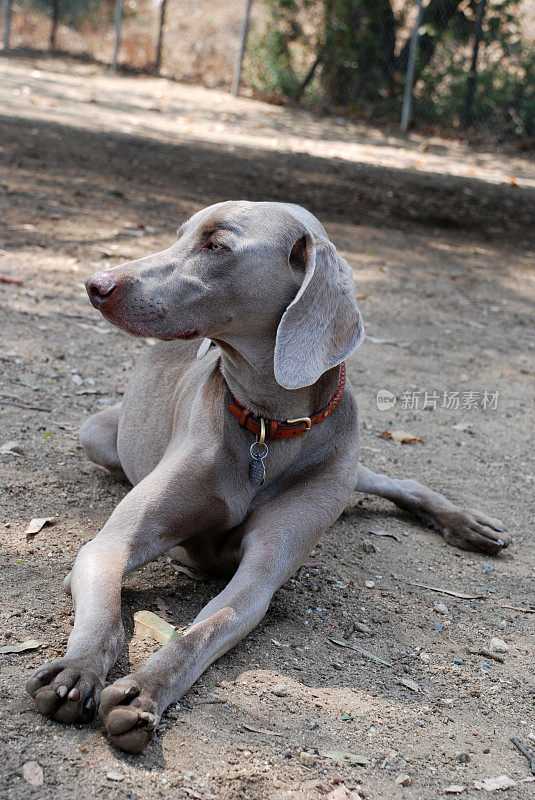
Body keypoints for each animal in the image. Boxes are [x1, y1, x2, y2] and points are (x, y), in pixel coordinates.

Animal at [25, 200, 510, 752]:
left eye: (216, 246)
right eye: (179, 235)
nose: (95, 284)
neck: (264, 423)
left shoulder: (261, 574)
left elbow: (201, 632)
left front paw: (144, 690)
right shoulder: (107, 547)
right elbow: (104, 615)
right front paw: (77, 670)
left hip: (343, 465)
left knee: (393, 482)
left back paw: (468, 524)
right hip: (95, 434)